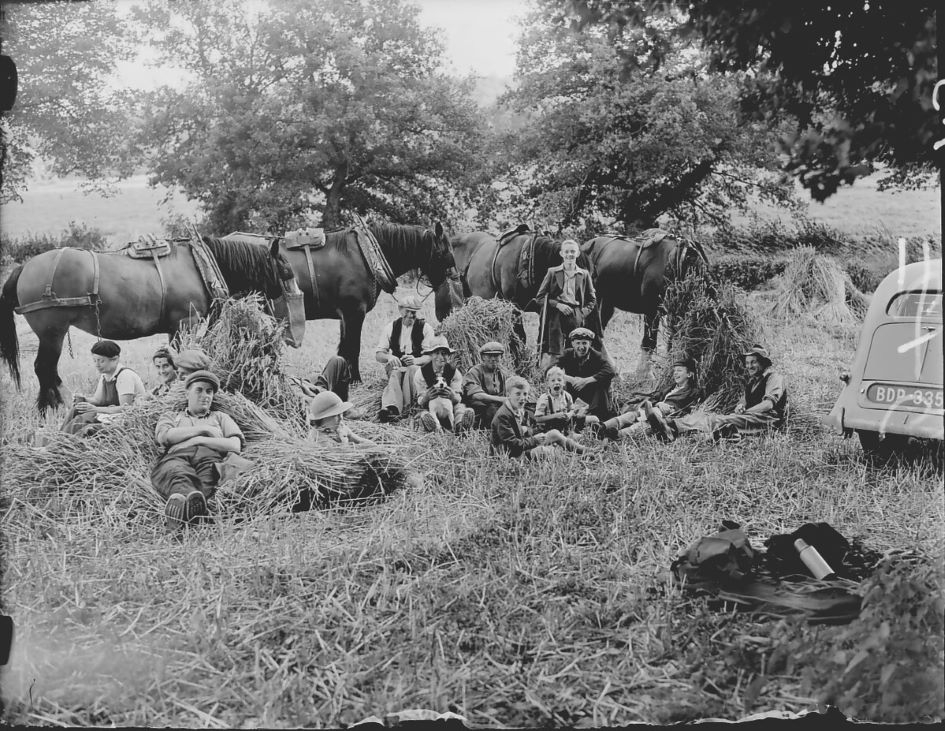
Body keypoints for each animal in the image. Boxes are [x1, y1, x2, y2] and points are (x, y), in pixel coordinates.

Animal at [0, 239, 306, 414]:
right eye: (286, 271)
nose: (296, 330)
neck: (200, 266)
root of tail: (24, 268)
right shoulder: (185, 324)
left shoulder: (175, 328)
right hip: (53, 331)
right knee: (44, 368)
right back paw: (53, 405)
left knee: (46, 369)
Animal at [221, 222, 458, 384]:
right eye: (443, 252)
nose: (455, 277)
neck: (366, 256)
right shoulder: (354, 312)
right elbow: (353, 347)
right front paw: (355, 379)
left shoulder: (345, 316)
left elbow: (344, 348)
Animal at [580, 232, 704, 374]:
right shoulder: (652, 310)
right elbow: (649, 342)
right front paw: (644, 373)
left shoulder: (676, 313)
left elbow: (672, 341)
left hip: (607, 301)